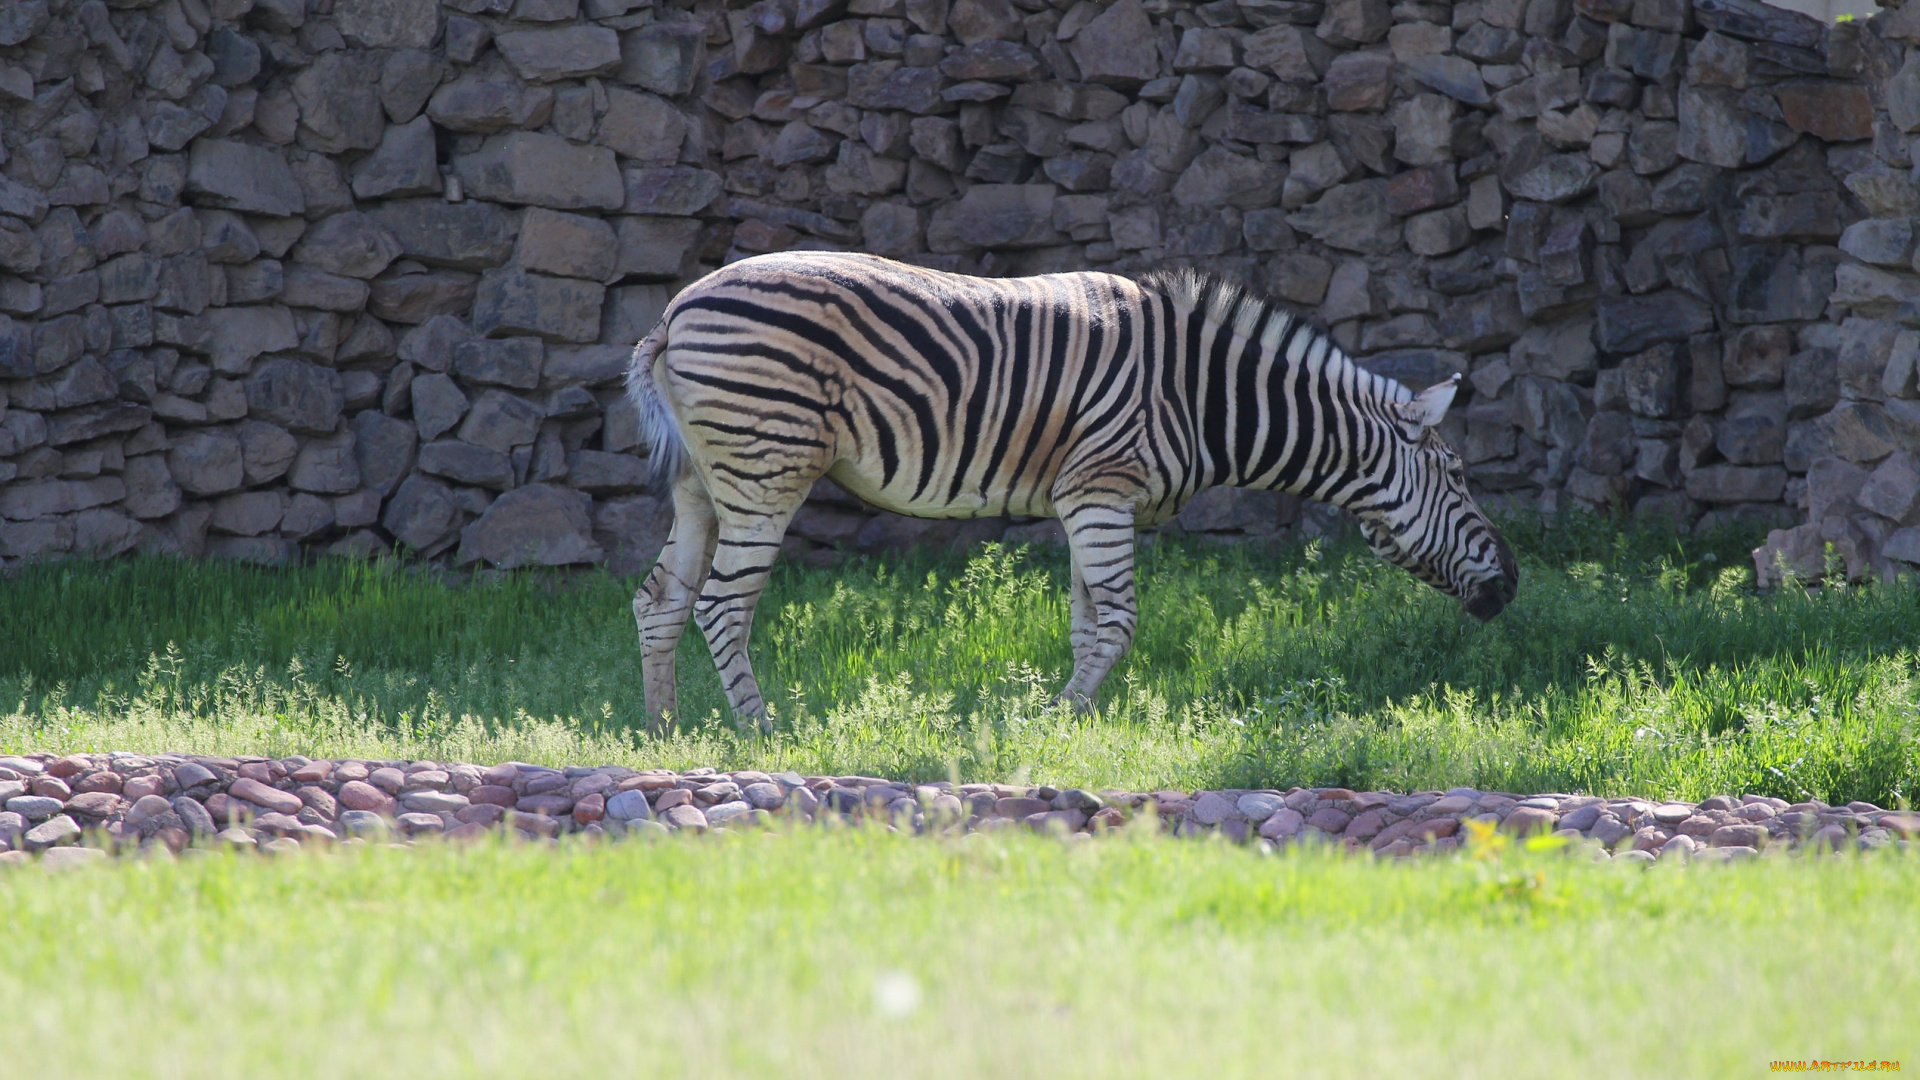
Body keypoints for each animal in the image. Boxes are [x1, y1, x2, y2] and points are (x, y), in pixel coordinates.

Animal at [629, 247, 1512, 726]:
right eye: (1459, 477)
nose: (1510, 586)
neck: (1199, 396)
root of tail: (676, 310)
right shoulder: (1102, 489)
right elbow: (1116, 624)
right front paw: (1055, 721)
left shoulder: (1081, 500)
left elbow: (1089, 626)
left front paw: (1069, 726)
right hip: (766, 468)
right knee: (722, 604)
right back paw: (763, 732)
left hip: (703, 480)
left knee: (660, 598)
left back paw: (666, 729)